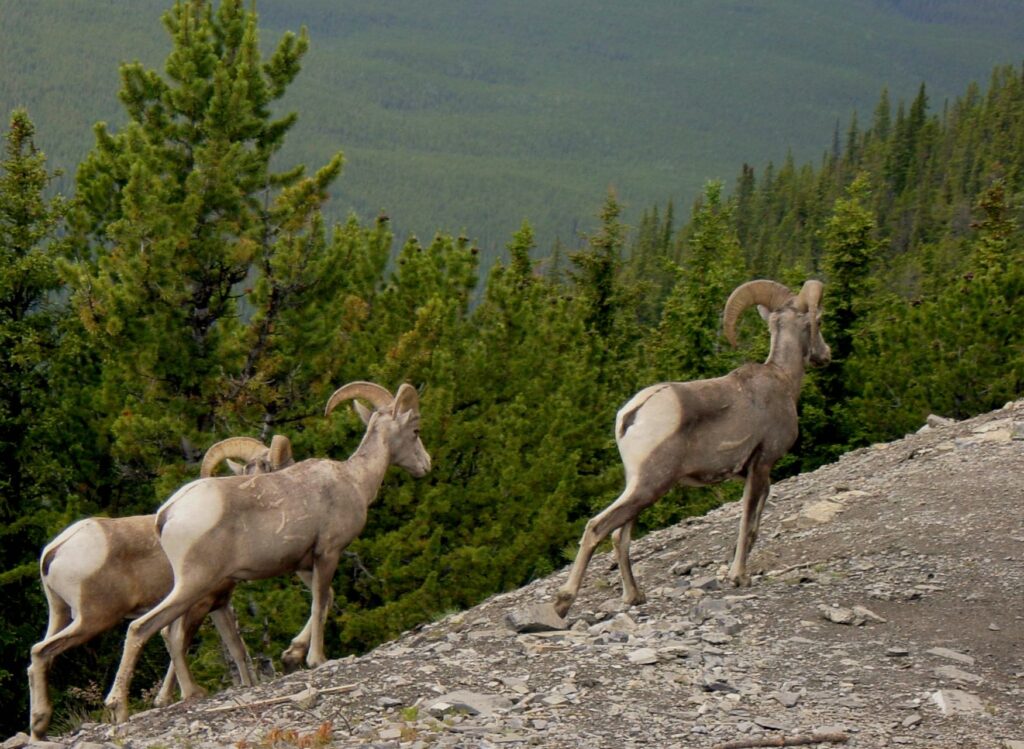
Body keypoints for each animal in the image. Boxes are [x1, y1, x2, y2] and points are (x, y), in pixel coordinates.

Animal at [28, 434, 292, 737]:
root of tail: (54, 551)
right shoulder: (197, 604)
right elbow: (177, 642)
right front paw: (183, 695)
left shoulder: (218, 605)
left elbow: (235, 647)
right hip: (93, 619)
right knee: (41, 651)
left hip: (60, 615)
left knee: (38, 658)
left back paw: (38, 727)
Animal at [105, 383, 434, 725]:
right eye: (415, 429)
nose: (426, 464)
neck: (354, 480)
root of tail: (167, 513)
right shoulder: (328, 553)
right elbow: (319, 604)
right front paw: (316, 659)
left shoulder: (304, 564)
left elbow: (326, 599)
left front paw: (291, 656)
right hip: (195, 585)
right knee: (144, 628)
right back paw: (123, 707)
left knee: (168, 631)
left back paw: (184, 695)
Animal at [552, 278, 831, 618]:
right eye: (819, 321)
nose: (825, 355)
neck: (783, 382)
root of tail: (633, 413)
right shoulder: (762, 464)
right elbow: (746, 518)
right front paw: (738, 577)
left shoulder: (751, 472)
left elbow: (756, 519)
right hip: (651, 485)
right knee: (598, 527)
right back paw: (563, 603)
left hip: (637, 486)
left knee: (619, 535)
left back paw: (634, 597)